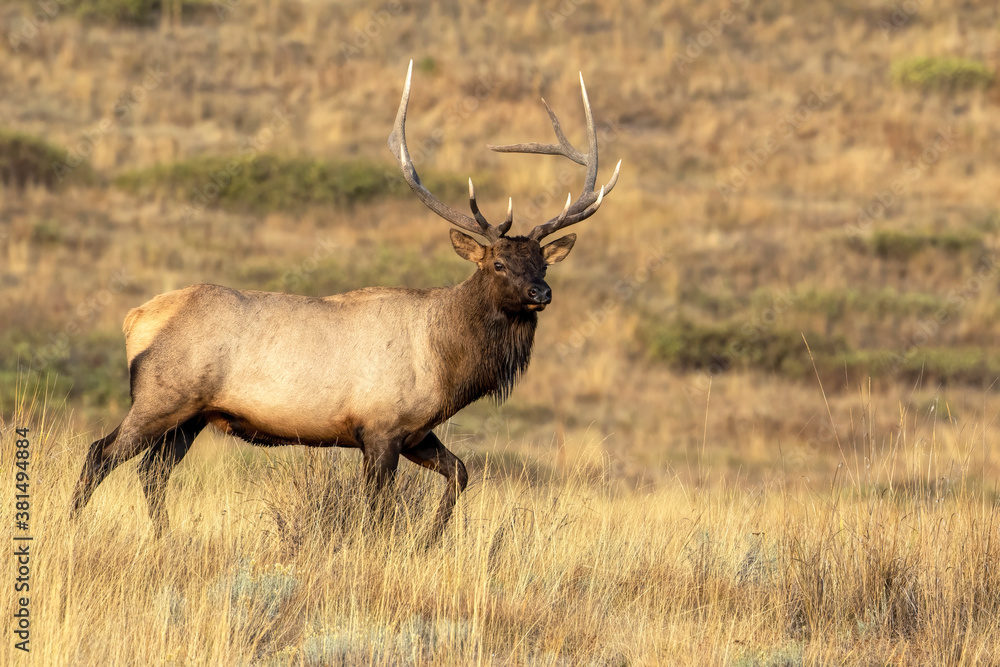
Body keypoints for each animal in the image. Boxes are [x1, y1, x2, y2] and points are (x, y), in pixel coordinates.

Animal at [69, 61, 620, 542]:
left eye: (543, 263)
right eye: (498, 264)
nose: (541, 293)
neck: (446, 363)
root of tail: (134, 319)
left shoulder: (416, 432)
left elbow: (461, 472)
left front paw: (429, 542)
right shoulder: (379, 429)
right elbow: (375, 511)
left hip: (192, 417)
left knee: (151, 472)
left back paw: (165, 537)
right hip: (161, 398)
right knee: (100, 453)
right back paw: (72, 528)